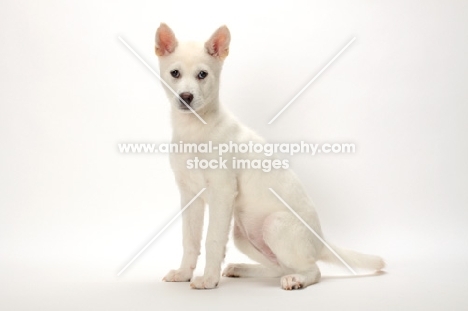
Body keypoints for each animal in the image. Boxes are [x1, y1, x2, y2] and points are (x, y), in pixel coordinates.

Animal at [154, 23, 384, 290]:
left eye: (202, 74)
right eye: (175, 73)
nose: (186, 97)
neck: (194, 129)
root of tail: (322, 240)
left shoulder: (222, 192)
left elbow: (212, 240)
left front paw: (209, 280)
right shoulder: (190, 195)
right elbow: (189, 240)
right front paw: (183, 274)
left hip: (274, 225)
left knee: (312, 270)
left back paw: (295, 280)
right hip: (243, 236)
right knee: (278, 268)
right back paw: (241, 268)